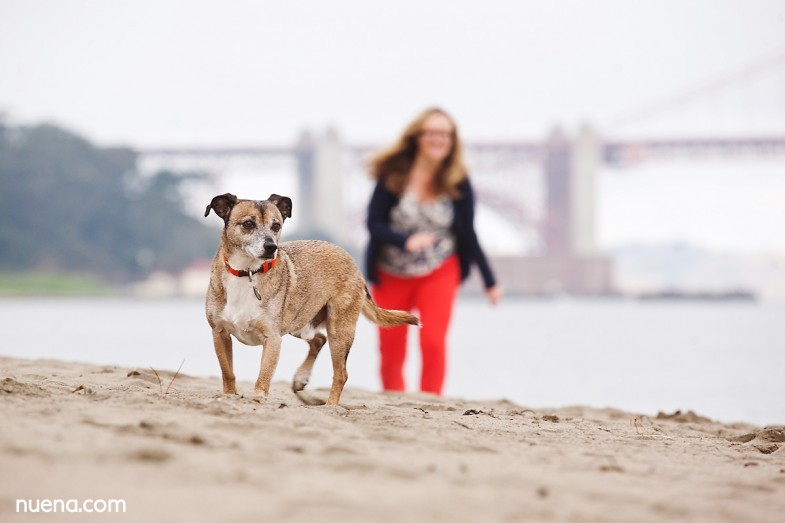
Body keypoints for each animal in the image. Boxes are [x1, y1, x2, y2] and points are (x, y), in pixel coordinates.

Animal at [205, 194, 420, 408]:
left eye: (276, 225)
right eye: (248, 224)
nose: (271, 247)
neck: (247, 272)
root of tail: (353, 262)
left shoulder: (272, 339)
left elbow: (263, 376)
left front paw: (259, 398)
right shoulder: (219, 333)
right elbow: (227, 372)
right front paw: (229, 396)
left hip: (339, 331)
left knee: (341, 373)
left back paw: (330, 405)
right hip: (299, 322)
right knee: (319, 340)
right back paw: (301, 379)